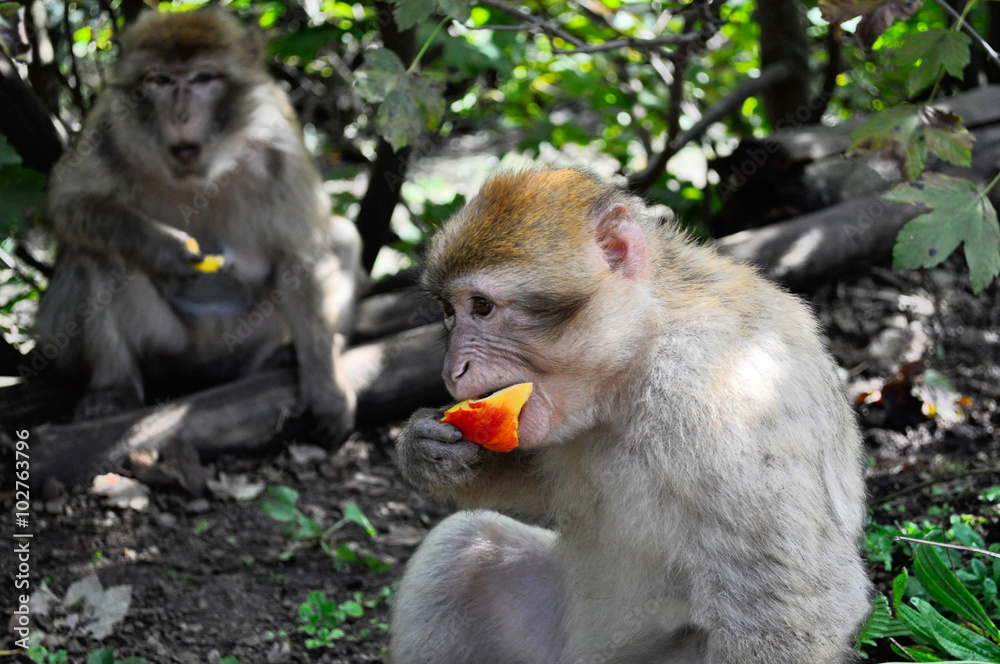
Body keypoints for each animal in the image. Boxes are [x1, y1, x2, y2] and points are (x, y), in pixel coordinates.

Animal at [34, 10, 360, 437]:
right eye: (158, 81)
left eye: (204, 78)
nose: (179, 115)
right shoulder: (107, 128)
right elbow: (68, 202)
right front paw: (160, 246)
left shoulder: (280, 148)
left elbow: (299, 256)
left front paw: (327, 391)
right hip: (172, 347)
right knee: (95, 254)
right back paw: (113, 389)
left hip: (249, 339)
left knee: (343, 236)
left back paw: (281, 355)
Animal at [390, 168, 871, 663]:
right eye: (449, 311)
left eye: (482, 306)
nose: (452, 370)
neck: (642, 350)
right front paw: (426, 451)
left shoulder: (721, 404)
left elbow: (791, 611)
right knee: (459, 549)